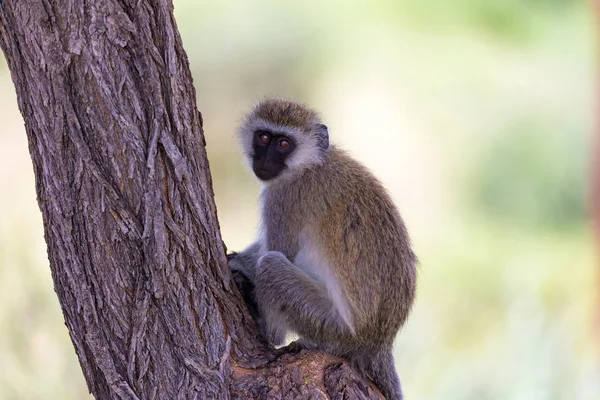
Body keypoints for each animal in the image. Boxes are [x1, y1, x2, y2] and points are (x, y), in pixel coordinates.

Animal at [227, 97, 414, 400]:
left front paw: (239, 264)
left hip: (330, 326)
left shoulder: (284, 197)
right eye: (263, 137)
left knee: (272, 265)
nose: (265, 160)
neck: (309, 164)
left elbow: (281, 250)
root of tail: (378, 341)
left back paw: (267, 331)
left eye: (284, 144)